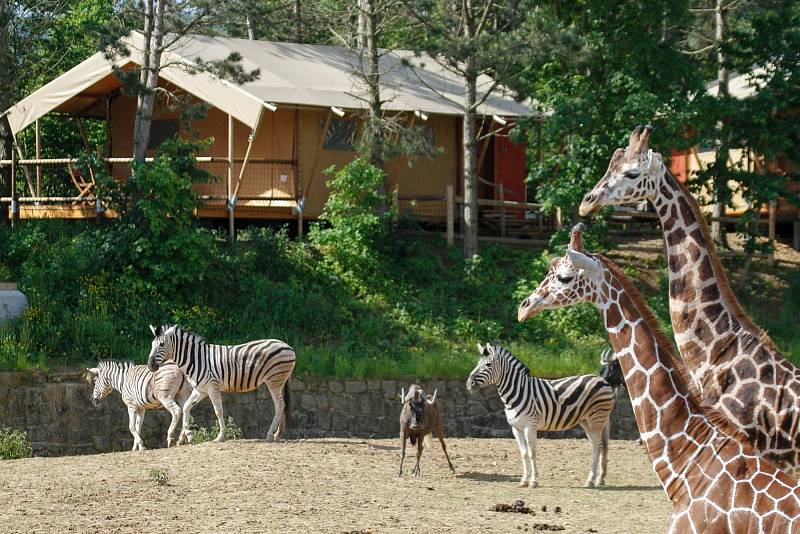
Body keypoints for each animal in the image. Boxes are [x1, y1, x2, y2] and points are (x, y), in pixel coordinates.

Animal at [147, 326, 296, 444]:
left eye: (161, 344)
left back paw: (271, 435)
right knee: (282, 405)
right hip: (279, 381)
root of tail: (289, 346)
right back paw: (278, 434)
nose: (150, 365)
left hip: (274, 380)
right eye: (152, 344)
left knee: (279, 405)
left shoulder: (213, 387)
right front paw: (187, 435)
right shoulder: (201, 389)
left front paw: (220, 436)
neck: (197, 359)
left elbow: (218, 411)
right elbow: (186, 407)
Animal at [462, 344, 612, 490]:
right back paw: (599, 479)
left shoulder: (530, 426)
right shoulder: (516, 428)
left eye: (488, 364)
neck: (518, 391)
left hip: (596, 420)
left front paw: (533, 481)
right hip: (587, 422)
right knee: (599, 446)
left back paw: (591, 480)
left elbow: (532, 453)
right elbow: (524, 453)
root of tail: (602, 379)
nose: (469, 384)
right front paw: (524, 480)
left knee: (598, 447)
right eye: (477, 363)